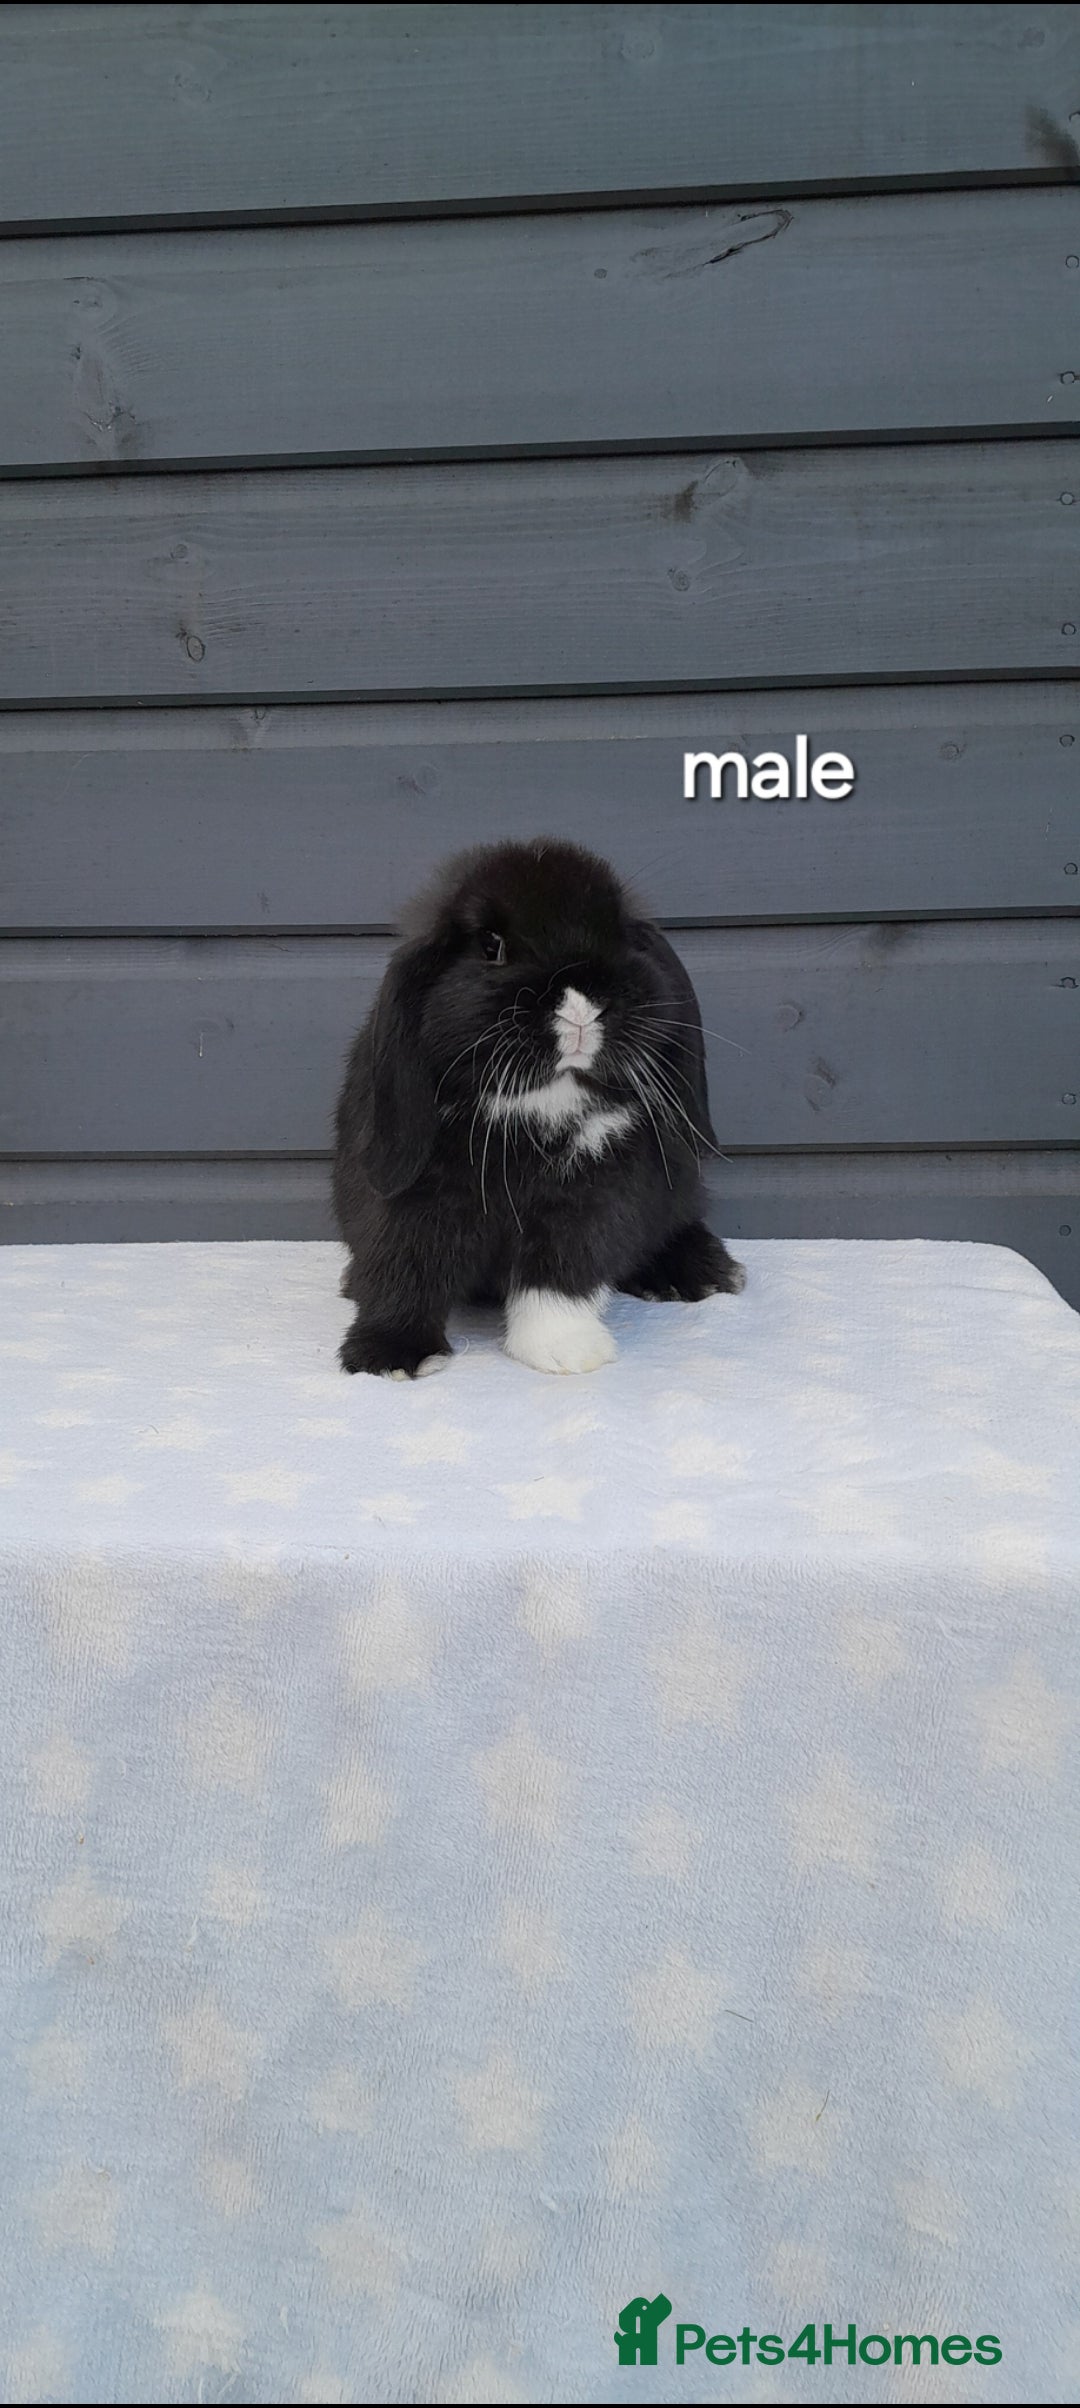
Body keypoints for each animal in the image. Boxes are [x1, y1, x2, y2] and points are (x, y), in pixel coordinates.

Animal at [332, 836, 745, 1376]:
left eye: (620, 936)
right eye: (491, 946)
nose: (580, 1006)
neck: (537, 1107)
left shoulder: (587, 1197)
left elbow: (561, 1271)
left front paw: (565, 1350)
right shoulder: (409, 1203)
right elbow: (404, 1269)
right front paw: (390, 1355)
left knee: (676, 1224)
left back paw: (701, 1272)